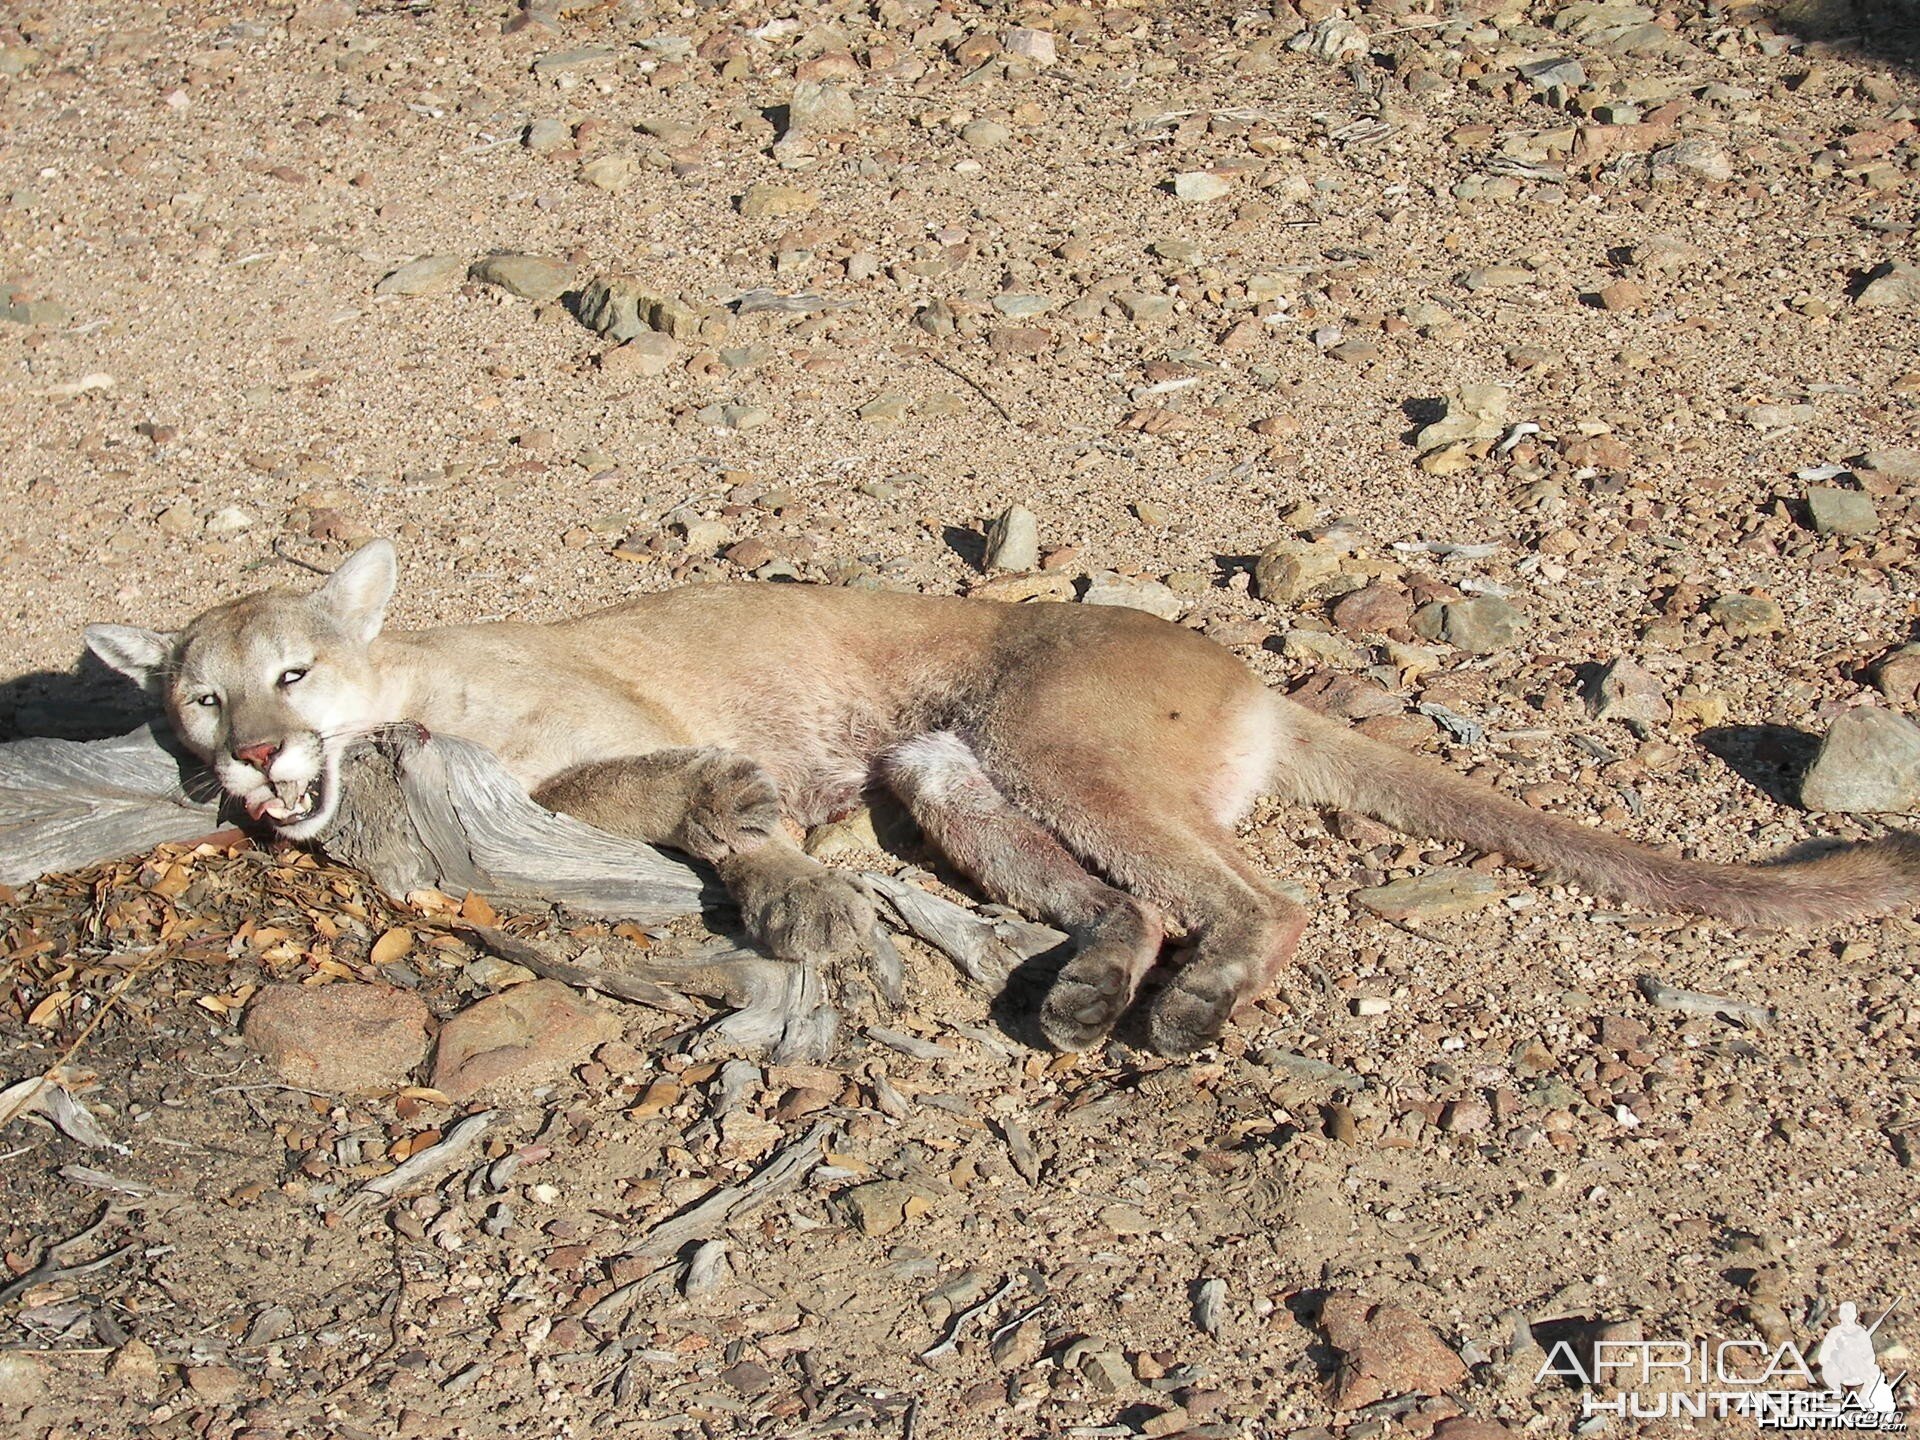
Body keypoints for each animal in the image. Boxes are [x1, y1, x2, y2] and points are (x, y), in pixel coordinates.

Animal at [82, 541, 1920, 1059]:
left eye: (292, 674)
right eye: (198, 699)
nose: (250, 758)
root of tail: (1257, 678)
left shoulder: (606, 723)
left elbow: (649, 780)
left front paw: (781, 876)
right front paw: (790, 879)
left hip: (1055, 741)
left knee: (1259, 899)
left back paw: (1178, 1015)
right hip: (947, 769)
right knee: (1135, 900)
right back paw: (1097, 994)